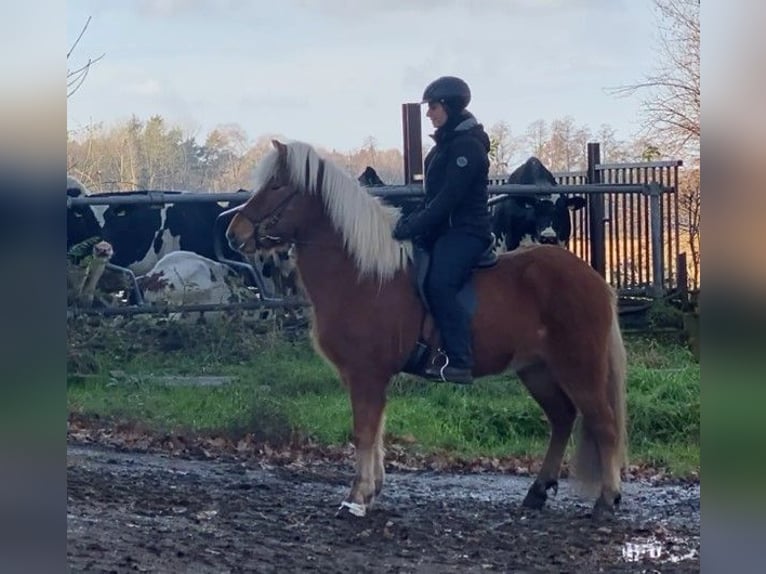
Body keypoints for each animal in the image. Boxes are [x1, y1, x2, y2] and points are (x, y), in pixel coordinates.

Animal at [224, 139, 628, 520]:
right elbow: (376, 431)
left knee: (604, 424)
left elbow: (364, 432)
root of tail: (593, 278)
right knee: (562, 419)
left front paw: (356, 498)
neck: (361, 274)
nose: (234, 232)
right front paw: (372, 490)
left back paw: (606, 500)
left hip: (579, 367)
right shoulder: (369, 377)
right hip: (537, 370)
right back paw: (538, 491)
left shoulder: (367, 373)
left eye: (277, 185)